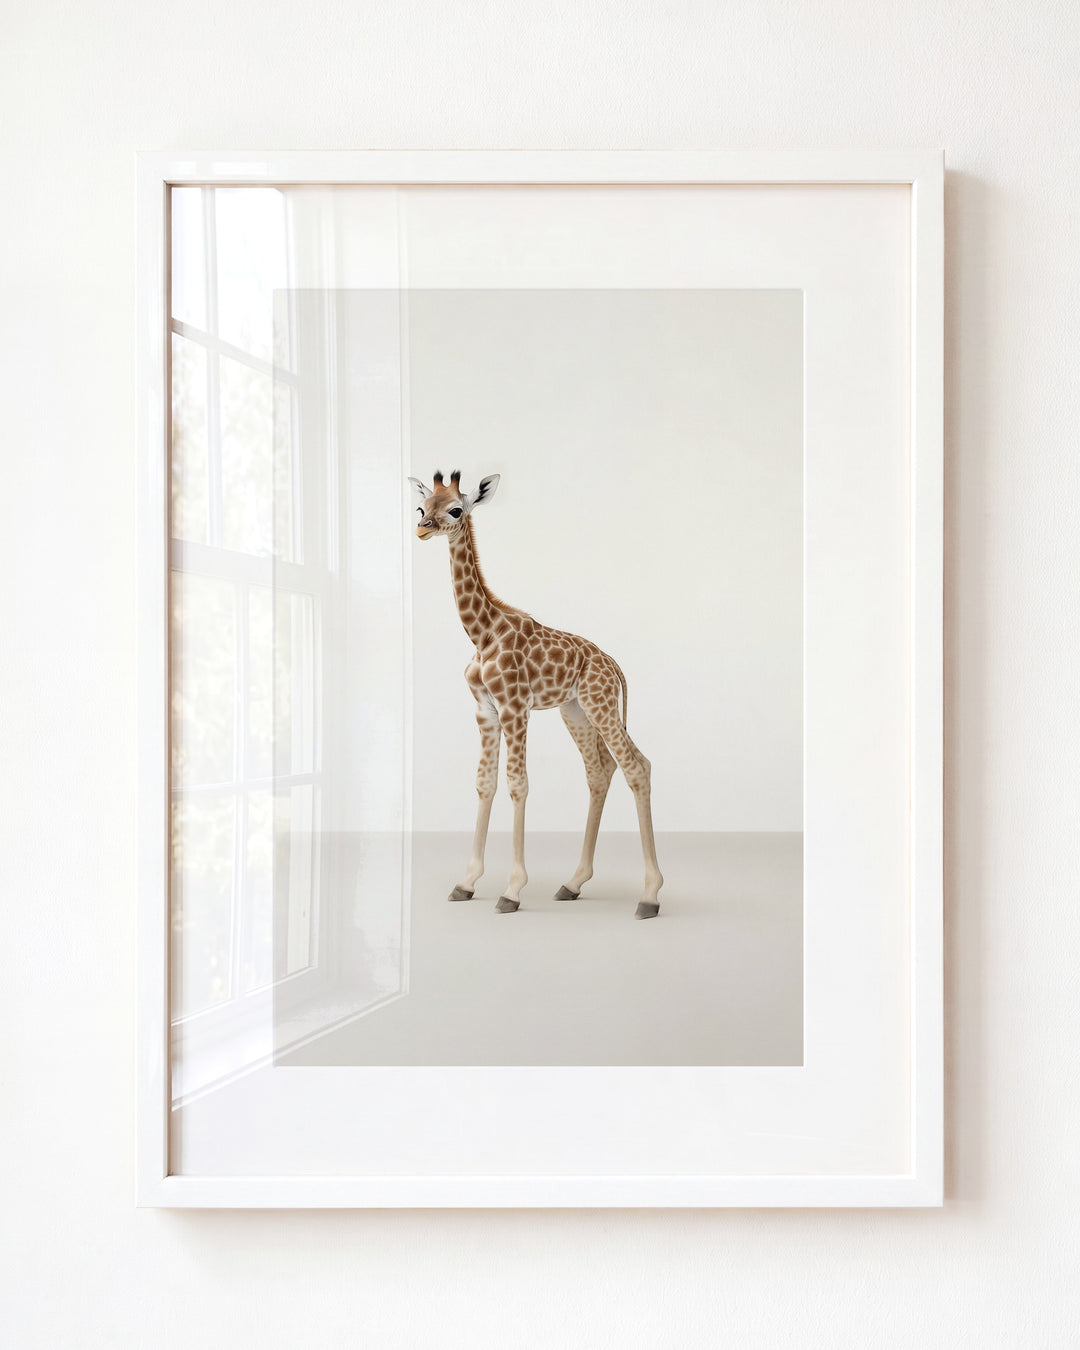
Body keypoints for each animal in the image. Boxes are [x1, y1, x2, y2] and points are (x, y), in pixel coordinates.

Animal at [409, 469, 663, 919]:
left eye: (455, 509)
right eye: (422, 506)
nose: (421, 528)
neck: (482, 633)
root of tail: (613, 665)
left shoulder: (515, 707)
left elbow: (518, 784)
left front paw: (512, 890)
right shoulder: (485, 710)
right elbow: (485, 783)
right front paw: (466, 883)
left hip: (599, 704)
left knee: (635, 767)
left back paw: (649, 896)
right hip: (576, 710)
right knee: (602, 771)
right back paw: (573, 883)